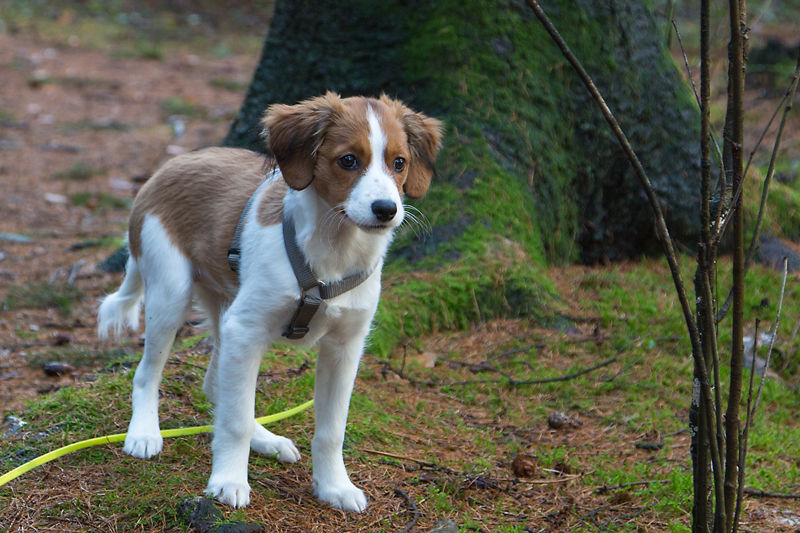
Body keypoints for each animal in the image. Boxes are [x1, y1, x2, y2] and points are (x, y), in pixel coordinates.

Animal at [99, 92, 444, 512]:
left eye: (399, 163)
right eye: (348, 160)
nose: (386, 210)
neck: (334, 251)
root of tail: (168, 165)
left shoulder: (345, 347)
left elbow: (332, 429)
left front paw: (334, 486)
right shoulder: (246, 330)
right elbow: (234, 422)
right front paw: (229, 480)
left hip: (225, 308)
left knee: (216, 385)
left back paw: (267, 439)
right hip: (171, 292)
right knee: (148, 372)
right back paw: (145, 433)